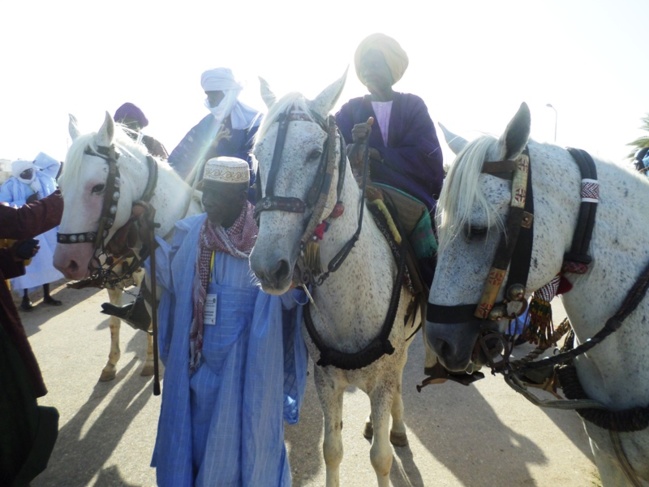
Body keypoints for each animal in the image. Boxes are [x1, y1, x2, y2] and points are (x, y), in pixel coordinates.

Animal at [53, 113, 202, 382]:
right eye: (60, 187)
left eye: (98, 187)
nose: (66, 263)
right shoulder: (114, 285)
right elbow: (115, 322)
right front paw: (111, 364)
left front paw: (150, 362)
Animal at [249, 73, 426, 487]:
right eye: (258, 153)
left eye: (316, 153)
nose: (267, 266)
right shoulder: (325, 380)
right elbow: (332, 449)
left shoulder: (380, 382)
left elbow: (381, 458)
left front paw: (389, 436)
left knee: (398, 385)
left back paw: (396, 426)